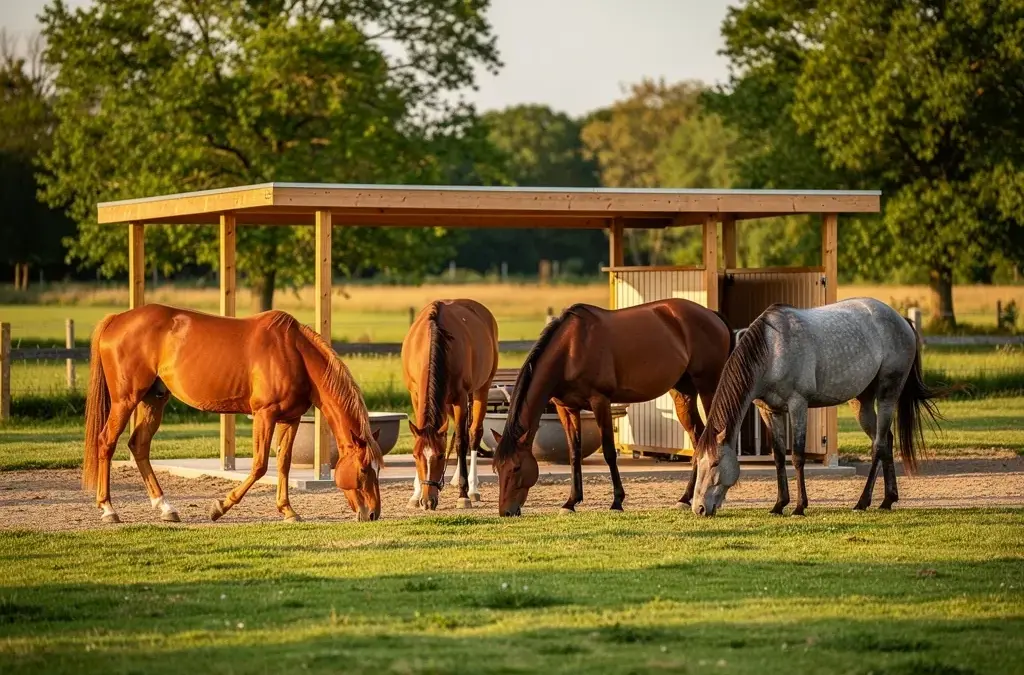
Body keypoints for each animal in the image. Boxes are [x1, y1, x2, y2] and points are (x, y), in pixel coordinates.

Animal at [82, 304, 383, 524]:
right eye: (363, 469)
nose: (372, 514)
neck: (294, 353)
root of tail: (117, 319)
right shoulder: (264, 415)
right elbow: (260, 465)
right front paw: (220, 507)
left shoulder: (290, 419)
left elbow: (283, 463)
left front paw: (288, 511)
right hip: (125, 401)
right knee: (106, 442)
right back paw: (108, 509)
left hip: (153, 401)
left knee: (139, 445)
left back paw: (166, 508)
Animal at [401, 299, 498, 510]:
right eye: (415, 456)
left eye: (439, 456)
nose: (428, 501)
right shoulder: (415, 395)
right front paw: (415, 494)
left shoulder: (459, 398)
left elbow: (462, 441)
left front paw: (463, 495)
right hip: (445, 404)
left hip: (481, 389)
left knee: (473, 434)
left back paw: (472, 487)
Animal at [490, 299, 734, 517]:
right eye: (497, 469)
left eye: (516, 467)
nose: (506, 512)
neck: (570, 349)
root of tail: (712, 315)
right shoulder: (567, 408)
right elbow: (574, 452)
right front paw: (570, 502)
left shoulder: (600, 401)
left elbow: (608, 451)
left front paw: (617, 501)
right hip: (684, 394)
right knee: (698, 439)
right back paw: (685, 499)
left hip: (708, 387)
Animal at [692, 298, 946, 517]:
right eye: (697, 462)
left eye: (715, 463)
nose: (700, 508)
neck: (773, 349)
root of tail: (901, 320)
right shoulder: (770, 411)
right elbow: (778, 456)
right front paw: (779, 505)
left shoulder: (798, 404)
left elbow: (797, 456)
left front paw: (799, 507)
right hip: (861, 404)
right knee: (886, 441)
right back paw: (887, 500)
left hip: (887, 395)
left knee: (879, 445)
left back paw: (862, 502)